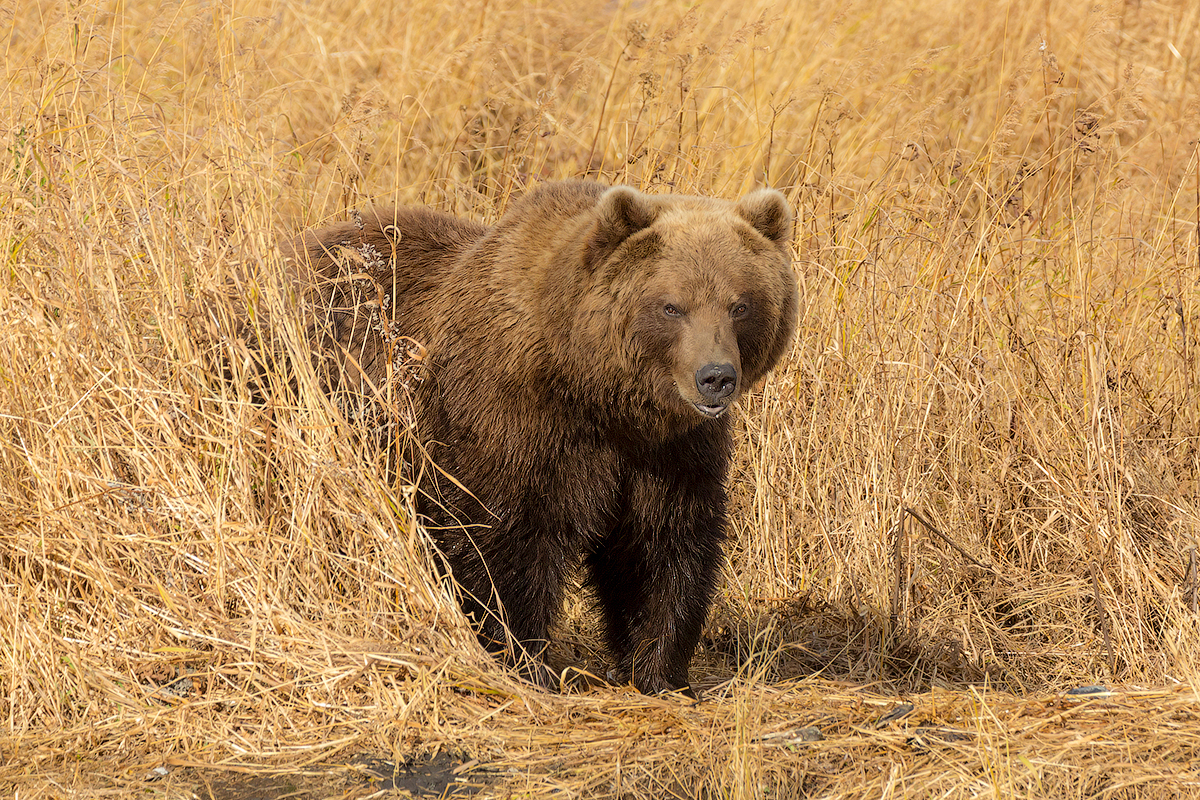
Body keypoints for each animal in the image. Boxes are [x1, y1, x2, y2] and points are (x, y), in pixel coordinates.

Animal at [283, 179, 796, 695]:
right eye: (672, 306)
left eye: (740, 305)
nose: (716, 377)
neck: (598, 393)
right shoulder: (513, 424)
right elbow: (502, 541)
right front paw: (525, 659)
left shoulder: (671, 451)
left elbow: (662, 545)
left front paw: (658, 670)